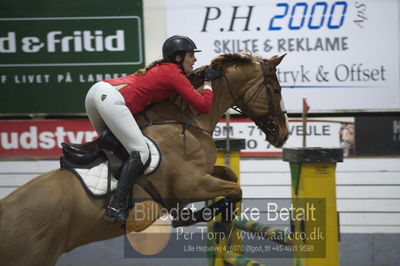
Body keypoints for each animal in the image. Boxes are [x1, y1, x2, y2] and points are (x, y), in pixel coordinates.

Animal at [0, 52, 288, 266]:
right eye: (276, 89)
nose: (283, 135)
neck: (188, 122)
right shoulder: (190, 184)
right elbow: (234, 189)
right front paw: (220, 226)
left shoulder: (202, 175)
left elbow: (230, 176)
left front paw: (212, 220)